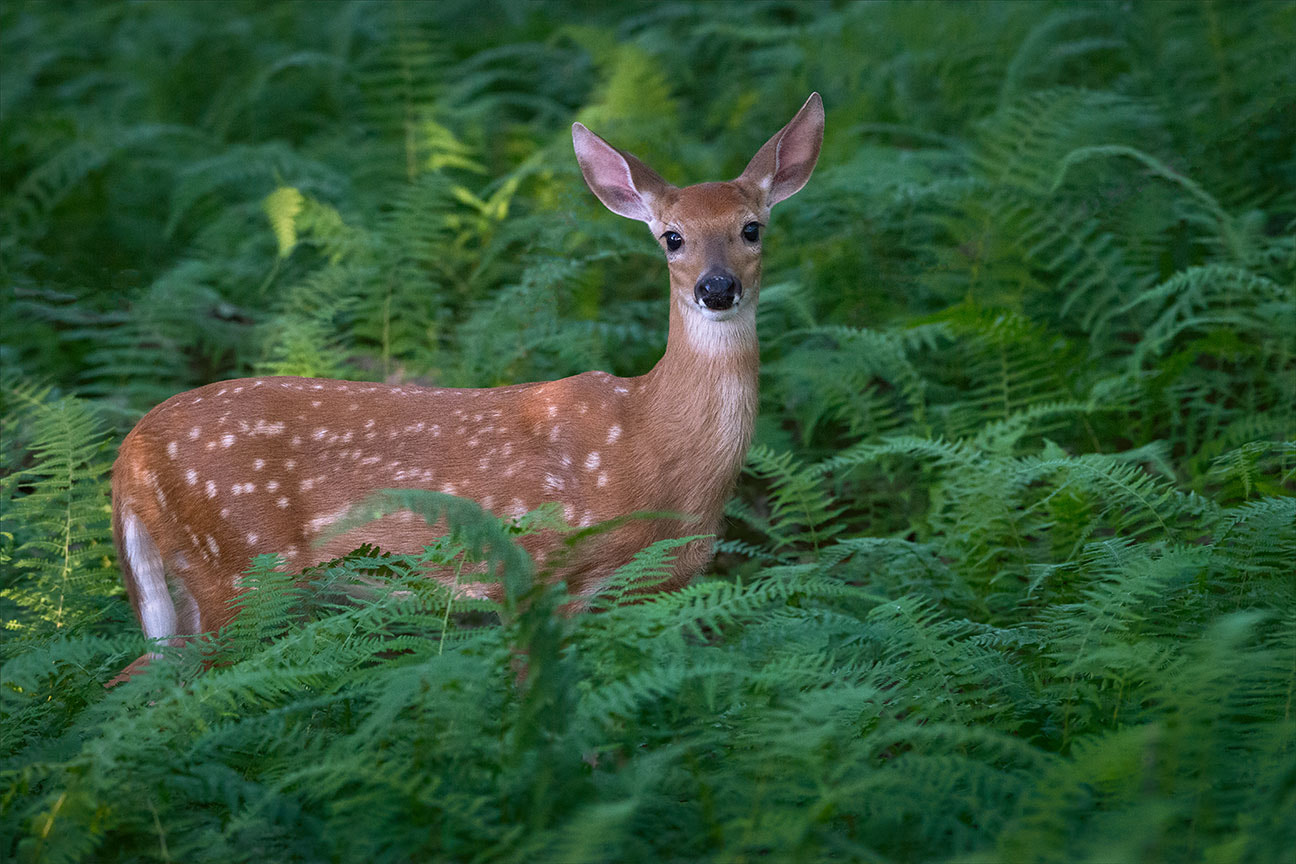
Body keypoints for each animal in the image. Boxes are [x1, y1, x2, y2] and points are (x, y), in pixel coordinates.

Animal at [109, 93, 824, 680]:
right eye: (672, 237)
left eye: (752, 228)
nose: (716, 288)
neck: (653, 441)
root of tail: (129, 457)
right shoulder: (534, 571)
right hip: (238, 565)